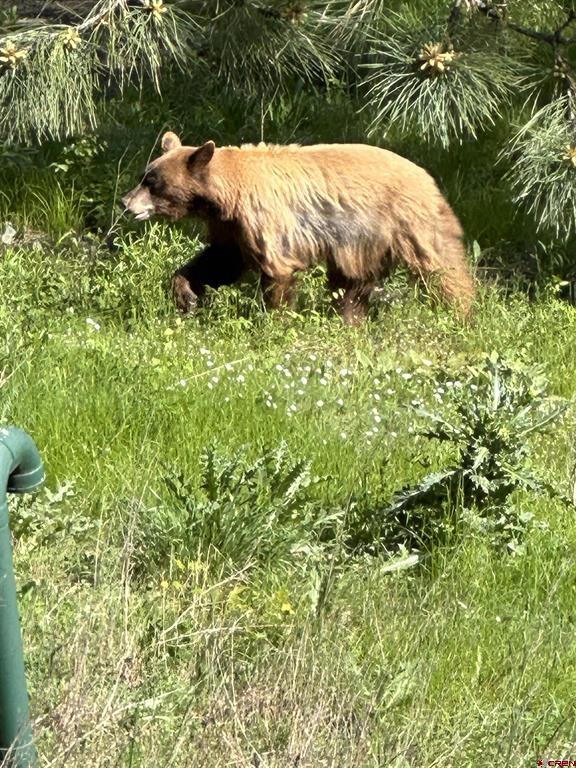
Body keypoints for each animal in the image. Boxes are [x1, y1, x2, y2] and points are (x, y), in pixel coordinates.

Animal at [122, 132, 475, 323]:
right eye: (144, 175)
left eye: (153, 183)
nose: (126, 202)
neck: (227, 194)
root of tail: (429, 178)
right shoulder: (229, 227)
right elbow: (221, 260)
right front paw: (186, 296)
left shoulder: (264, 218)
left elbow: (276, 270)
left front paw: (274, 324)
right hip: (362, 244)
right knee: (352, 286)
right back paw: (349, 323)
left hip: (408, 223)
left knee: (442, 270)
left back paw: (461, 314)